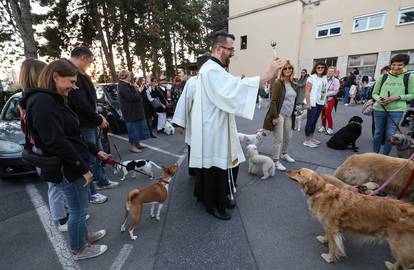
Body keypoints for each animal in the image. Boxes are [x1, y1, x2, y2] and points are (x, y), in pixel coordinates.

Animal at [286, 168, 414, 268]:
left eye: (299, 172)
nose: (287, 171)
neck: (320, 190)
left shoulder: (332, 228)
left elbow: (333, 246)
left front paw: (329, 258)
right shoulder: (331, 228)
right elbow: (328, 237)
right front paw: (324, 239)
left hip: (401, 247)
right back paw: (391, 266)